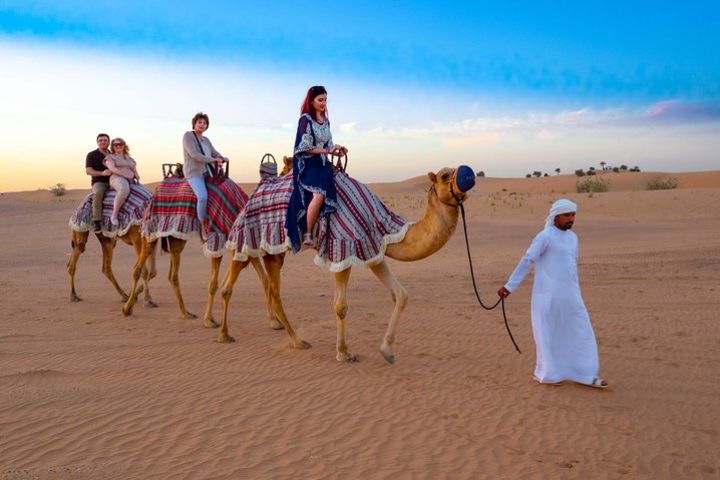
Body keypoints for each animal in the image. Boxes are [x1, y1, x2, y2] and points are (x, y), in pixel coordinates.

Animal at [217, 166, 472, 364]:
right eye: (445, 175)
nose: (469, 176)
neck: (382, 224)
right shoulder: (344, 248)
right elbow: (340, 306)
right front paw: (343, 353)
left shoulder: (372, 249)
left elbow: (401, 294)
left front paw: (387, 350)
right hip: (249, 235)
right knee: (236, 283)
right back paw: (229, 335)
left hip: (273, 250)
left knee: (271, 291)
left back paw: (291, 338)